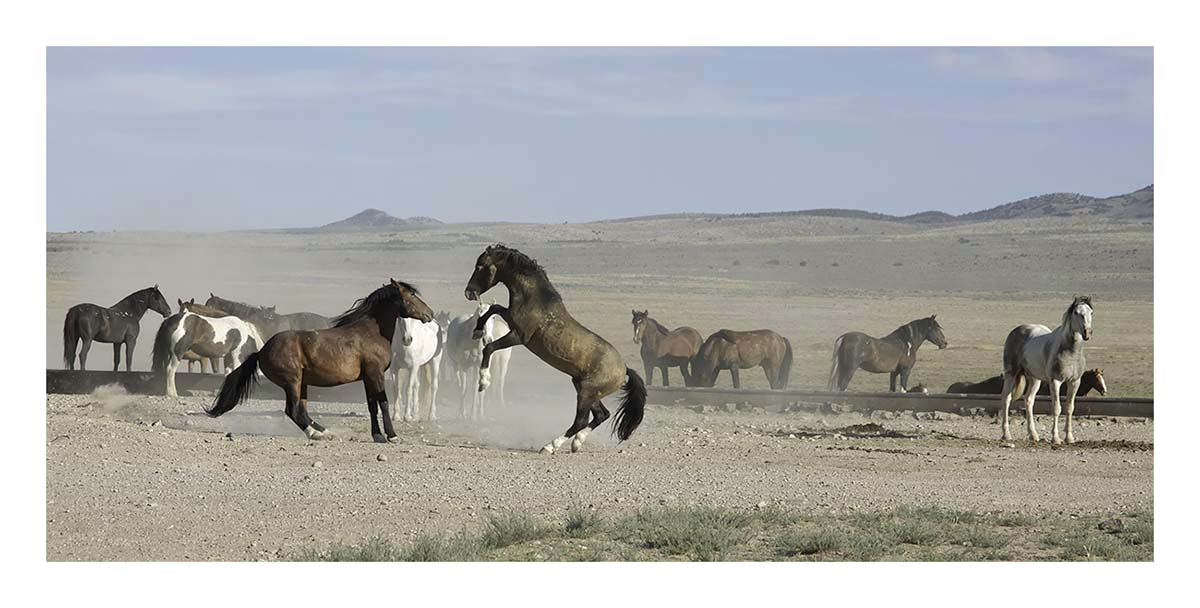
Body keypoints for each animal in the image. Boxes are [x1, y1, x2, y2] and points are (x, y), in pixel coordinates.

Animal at [207, 280, 433, 443]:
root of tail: (261, 351)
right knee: (293, 410)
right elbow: (383, 403)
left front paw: (377, 435)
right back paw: (316, 434)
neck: (371, 332)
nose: (429, 314)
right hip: (293, 381)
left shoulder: (368, 377)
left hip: (302, 383)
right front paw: (392, 436)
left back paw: (324, 430)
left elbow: (372, 405)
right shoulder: (375, 374)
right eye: (412, 295)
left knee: (302, 410)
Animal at [465, 244, 646, 454]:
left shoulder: (519, 336)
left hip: (586, 393)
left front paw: (483, 382)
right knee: (601, 415)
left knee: (581, 421)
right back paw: (577, 443)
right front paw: (477, 331)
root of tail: (624, 369)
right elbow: (494, 308)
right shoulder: (510, 319)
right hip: (584, 388)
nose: (469, 292)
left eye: (480, 266)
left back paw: (550, 446)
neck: (535, 299)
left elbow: (489, 347)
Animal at [1000, 296, 1094, 444]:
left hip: (1034, 379)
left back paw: (1033, 435)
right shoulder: (1055, 381)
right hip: (1011, 374)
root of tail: (1016, 331)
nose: (1087, 332)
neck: (1070, 352)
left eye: (1091, 312)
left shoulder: (1074, 382)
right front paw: (1055, 438)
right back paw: (1006, 435)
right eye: (1076, 312)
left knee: (1029, 400)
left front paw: (1069, 437)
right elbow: (1056, 408)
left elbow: (1069, 408)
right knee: (1006, 399)